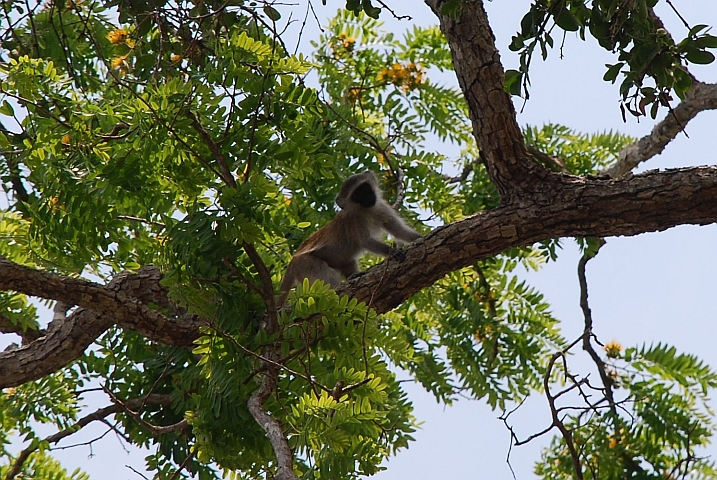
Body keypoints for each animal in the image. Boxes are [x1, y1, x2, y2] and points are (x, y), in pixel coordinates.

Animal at [277, 171, 421, 306]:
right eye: (357, 196)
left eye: (365, 189)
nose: (368, 198)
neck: (366, 210)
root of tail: (292, 261)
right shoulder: (353, 219)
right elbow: (366, 242)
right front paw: (393, 252)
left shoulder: (381, 208)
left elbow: (398, 230)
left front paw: (420, 237)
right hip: (303, 263)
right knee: (324, 276)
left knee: (348, 262)